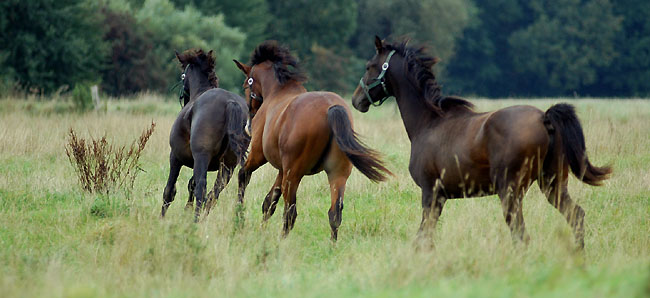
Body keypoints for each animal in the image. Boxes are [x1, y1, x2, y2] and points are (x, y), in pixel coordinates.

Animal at [162, 49, 251, 221]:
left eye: (183, 76)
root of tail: (230, 103)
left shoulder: (175, 157)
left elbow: (170, 191)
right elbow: (191, 184)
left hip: (202, 156)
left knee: (202, 190)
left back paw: (196, 222)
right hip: (228, 165)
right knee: (213, 194)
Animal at [233, 40, 390, 240]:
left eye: (246, 85)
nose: (249, 121)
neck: (277, 93)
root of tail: (331, 108)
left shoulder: (259, 156)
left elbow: (244, 175)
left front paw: (239, 216)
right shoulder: (282, 170)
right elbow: (270, 201)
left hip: (294, 175)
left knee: (290, 213)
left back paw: (281, 242)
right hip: (337, 174)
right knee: (334, 213)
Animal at [350, 36, 608, 248]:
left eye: (369, 66)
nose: (356, 100)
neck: (429, 122)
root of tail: (544, 118)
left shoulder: (430, 193)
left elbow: (424, 237)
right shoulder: (440, 197)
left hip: (511, 192)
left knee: (521, 235)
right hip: (552, 184)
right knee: (576, 216)